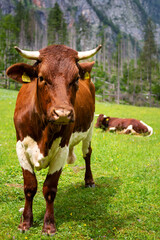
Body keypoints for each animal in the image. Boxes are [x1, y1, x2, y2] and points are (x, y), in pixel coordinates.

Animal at [6, 44, 102, 234]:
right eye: (41, 78)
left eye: (75, 79)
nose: (62, 113)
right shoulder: (20, 146)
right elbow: (29, 187)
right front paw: (25, 222)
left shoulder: (61, 149)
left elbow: (49, 189)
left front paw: (49, 225)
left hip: (89, 131)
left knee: (87, 153)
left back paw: (89, 181)